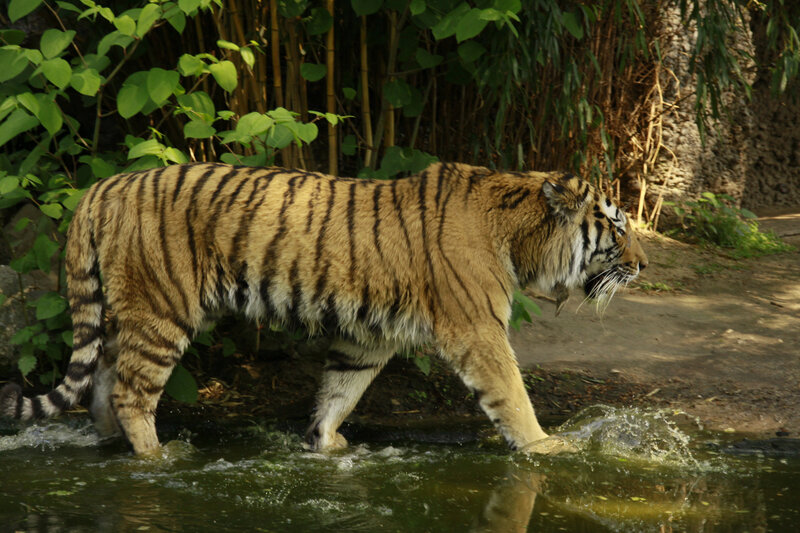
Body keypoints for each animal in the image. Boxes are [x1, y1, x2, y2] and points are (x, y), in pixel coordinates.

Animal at [0, 162, 647, 455]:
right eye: (616, 227)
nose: (643, 265)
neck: (518, 237)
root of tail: (102, 186)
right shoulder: (477, 331)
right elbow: (512, 394)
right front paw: (548, 448)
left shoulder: (370, 337)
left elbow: (341, 389)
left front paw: (327, 444)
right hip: (163, 309)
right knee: (133, 390)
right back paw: (157, 457)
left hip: (136, 310)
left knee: (103, 378)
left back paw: (110, 442)